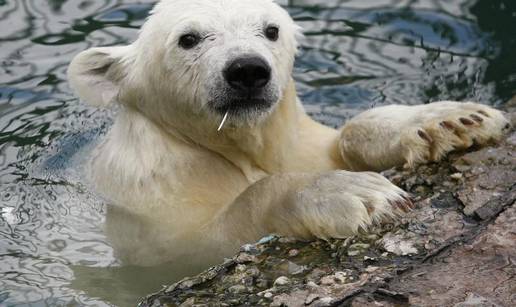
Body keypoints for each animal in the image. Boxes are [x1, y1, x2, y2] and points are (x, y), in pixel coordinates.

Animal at [67, 0, 508, 276]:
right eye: (187, 39)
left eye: (271, 30)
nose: (247, 70)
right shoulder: (153, 200)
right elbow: (197, 244)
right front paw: (355, 194)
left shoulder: (299, 144)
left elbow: (341, 139)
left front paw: (452, 120)